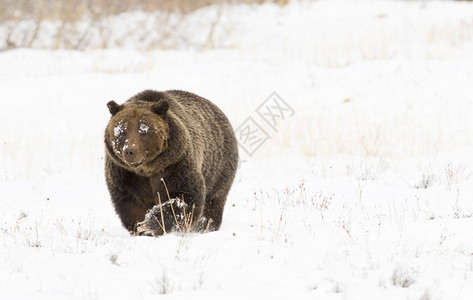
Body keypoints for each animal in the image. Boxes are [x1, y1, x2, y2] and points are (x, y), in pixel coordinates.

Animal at [103, 89, 236, 237]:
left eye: (143, 131)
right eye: (122, 131)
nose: (129, 151)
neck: (147, 168)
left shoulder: (175, 164)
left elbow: (183, 197)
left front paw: (150, 224)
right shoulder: (125, 174)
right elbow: (131, 203)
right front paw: (141, 226)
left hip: (218, 168)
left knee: (213, 202)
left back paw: (205, 226)